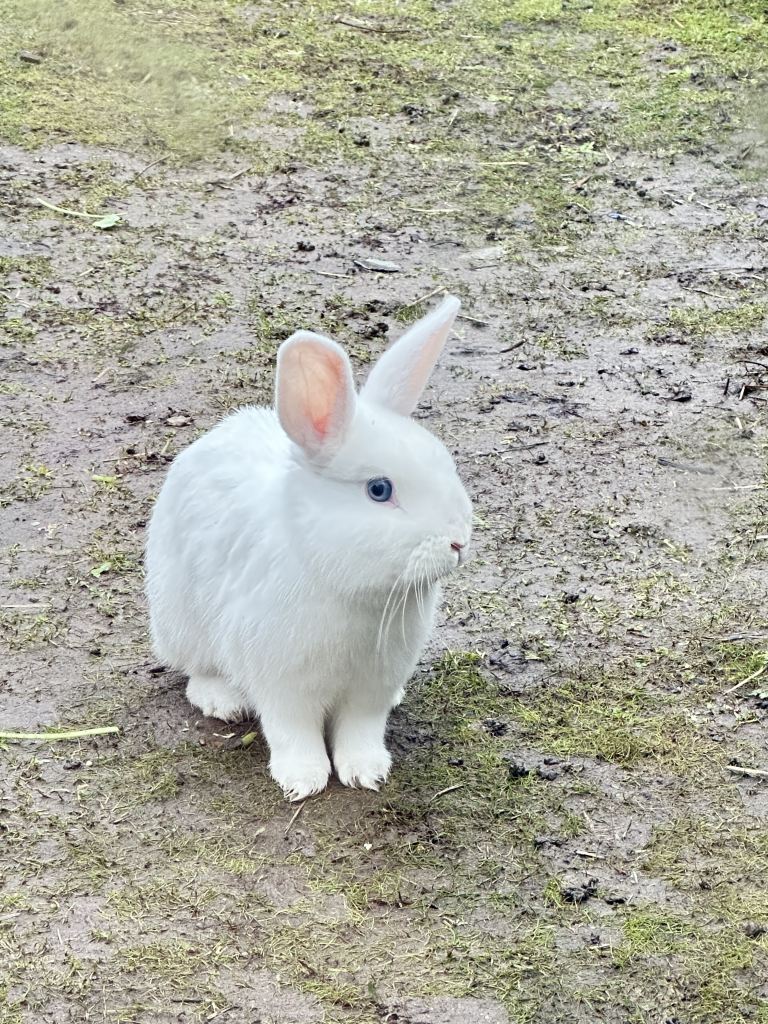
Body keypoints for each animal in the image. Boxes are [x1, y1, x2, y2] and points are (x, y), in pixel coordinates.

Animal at [145, 294, 473, 801]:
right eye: (379, 490)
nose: (458, 541)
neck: (354, 592)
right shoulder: (282, 684)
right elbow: (291, 731)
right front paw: (303, 780)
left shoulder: (372, 688)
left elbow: (361, 730)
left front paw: (367, 771)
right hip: (180, 618)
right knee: (196, 670)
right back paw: (222, 700)